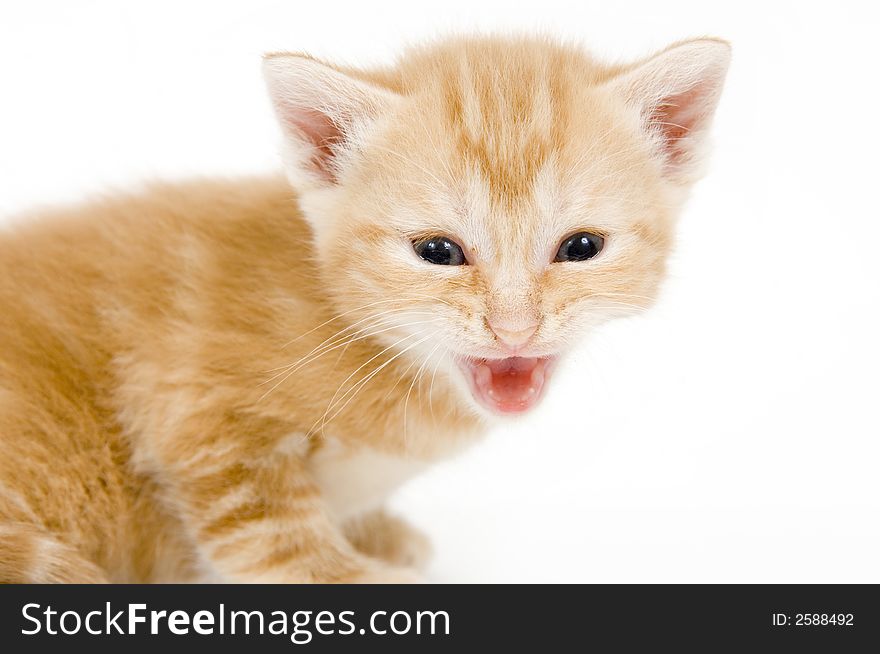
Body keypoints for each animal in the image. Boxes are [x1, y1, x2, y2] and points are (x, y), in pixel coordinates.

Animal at [0, 34, 728, 584]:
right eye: (438, 251)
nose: (513, 327)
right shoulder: (189, 399)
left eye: (581, 247)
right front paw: (359, 578)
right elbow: (268, 531)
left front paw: (380, 535)